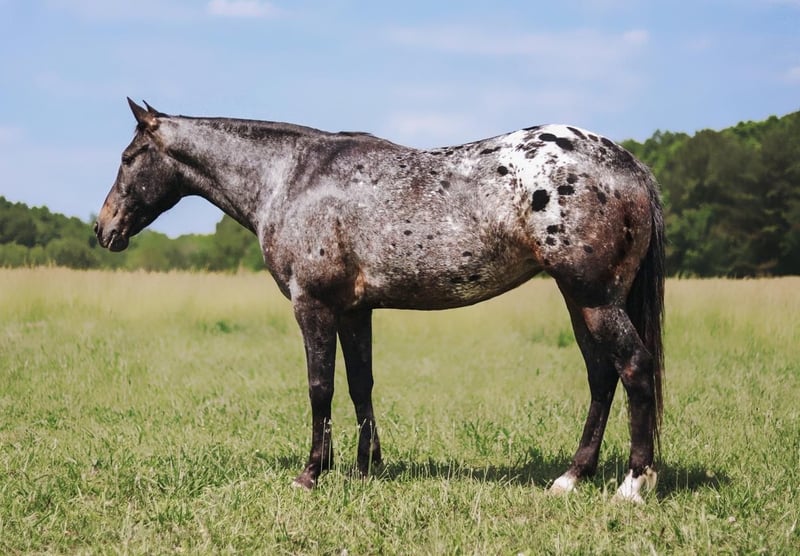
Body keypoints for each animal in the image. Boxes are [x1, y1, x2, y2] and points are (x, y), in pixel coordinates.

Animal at [97, 100, 664, 504]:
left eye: (127, 159)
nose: (103, 229)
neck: (291, 177)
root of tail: (629, 164)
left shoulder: (313, 305)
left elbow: (321, 387)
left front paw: (312, 474)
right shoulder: (354, 310)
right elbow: (360, 384)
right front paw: (366, 466)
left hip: (593, 297)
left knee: (634, 368)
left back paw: (633, 486)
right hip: (579, 300)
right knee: (601, 377)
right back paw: (570, 478)